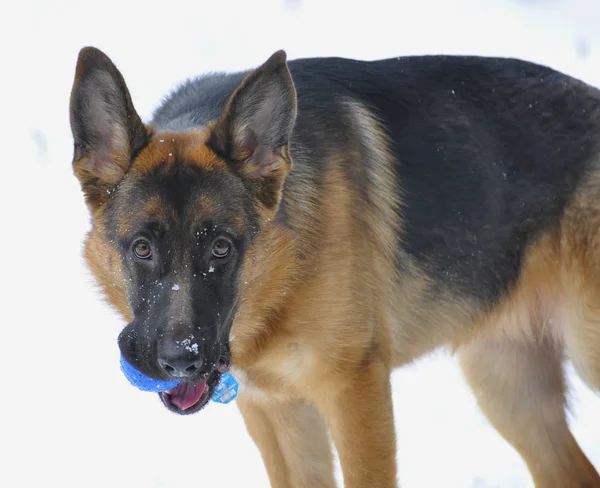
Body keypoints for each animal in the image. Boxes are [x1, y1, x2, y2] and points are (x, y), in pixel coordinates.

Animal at [71, 46, 600, 488]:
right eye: (141, 248)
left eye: (221, 248)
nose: (181, 359)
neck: (284, 274)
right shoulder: (278, 412)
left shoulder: (354, 391)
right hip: (508, 387)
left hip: (581, 354)